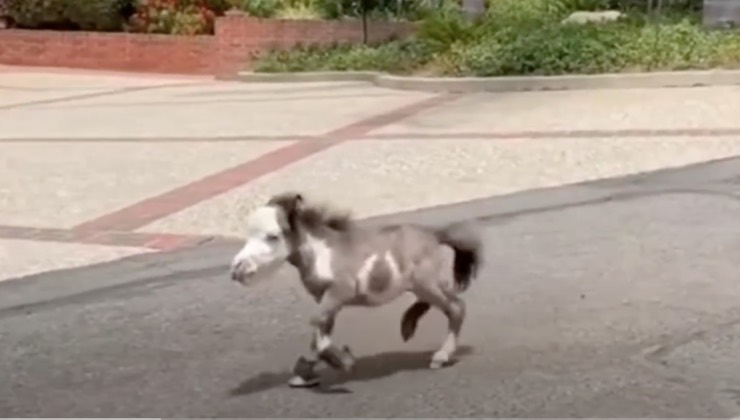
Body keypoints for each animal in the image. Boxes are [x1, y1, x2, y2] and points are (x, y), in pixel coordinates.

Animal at [231, 193, 486, 388]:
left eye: (273, 236)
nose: (237, 269)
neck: (322, 253)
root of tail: (435, 234)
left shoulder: (340, 291)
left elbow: (317, 326)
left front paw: (344, 362)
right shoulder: (325, 299)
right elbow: (320, 331)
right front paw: (305, 374)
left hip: (425, 283)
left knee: (456, 307)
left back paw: (441, 356)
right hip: (421, 285)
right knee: (437, 301)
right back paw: (407, 325)